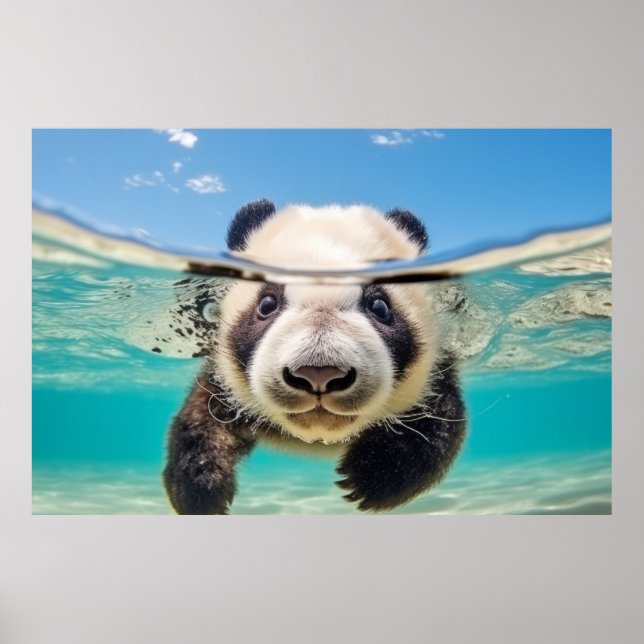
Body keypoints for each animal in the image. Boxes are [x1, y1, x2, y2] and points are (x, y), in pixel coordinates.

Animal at [163, 199, 466, 514]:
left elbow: (439, 418)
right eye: (266, 304)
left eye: (380, 307)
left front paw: (373, 472)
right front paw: (201, 488)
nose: (318, 374)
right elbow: (201, 415)